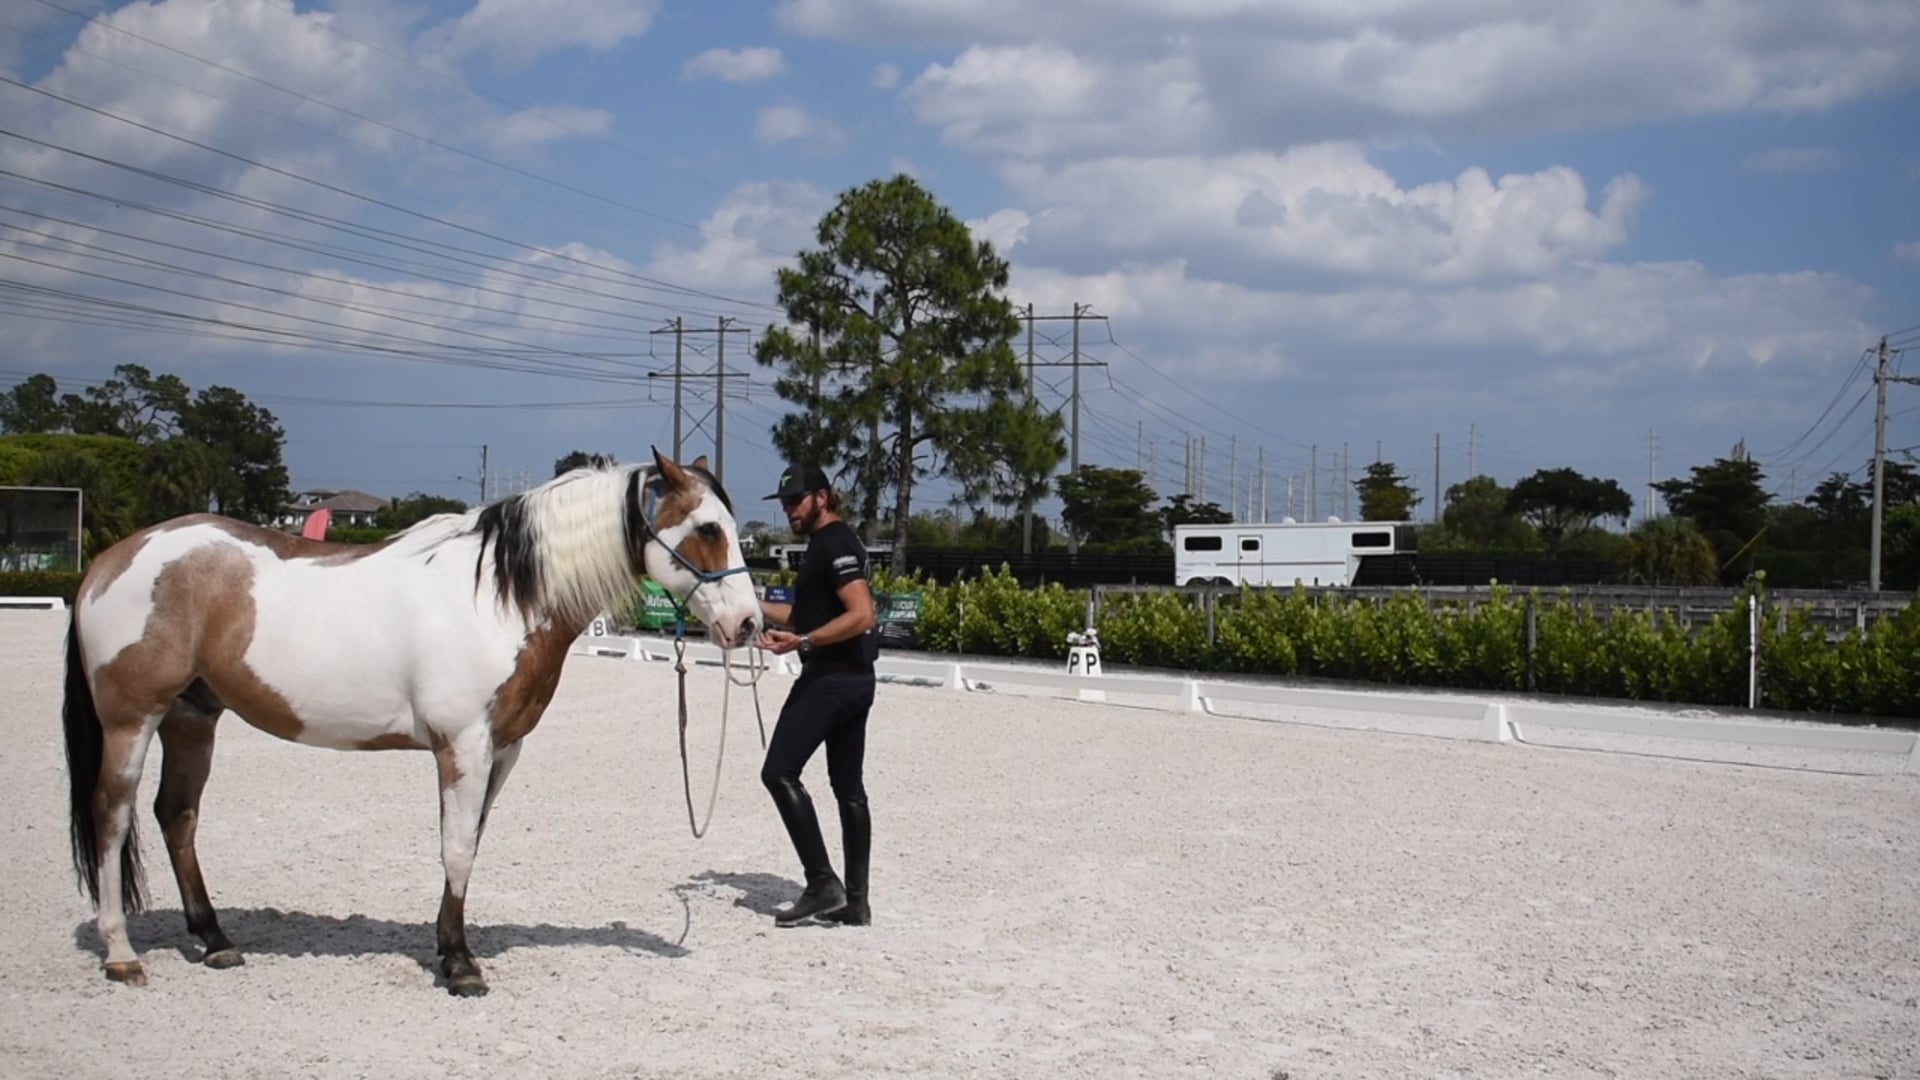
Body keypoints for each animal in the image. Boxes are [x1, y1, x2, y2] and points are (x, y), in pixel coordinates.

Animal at [60, 447, 761, 996]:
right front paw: (462, 966)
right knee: (112, 817)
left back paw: (214, 940)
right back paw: (121, 954)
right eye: (706, 528)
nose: (749, 624)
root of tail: (111, 559)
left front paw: (450, 949)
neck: (500, 596)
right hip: (133, 721)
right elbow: (456, 849)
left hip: (192, 718)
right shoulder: (463, 747)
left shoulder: (499, 752)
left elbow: (468, 847)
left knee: (176, 816)